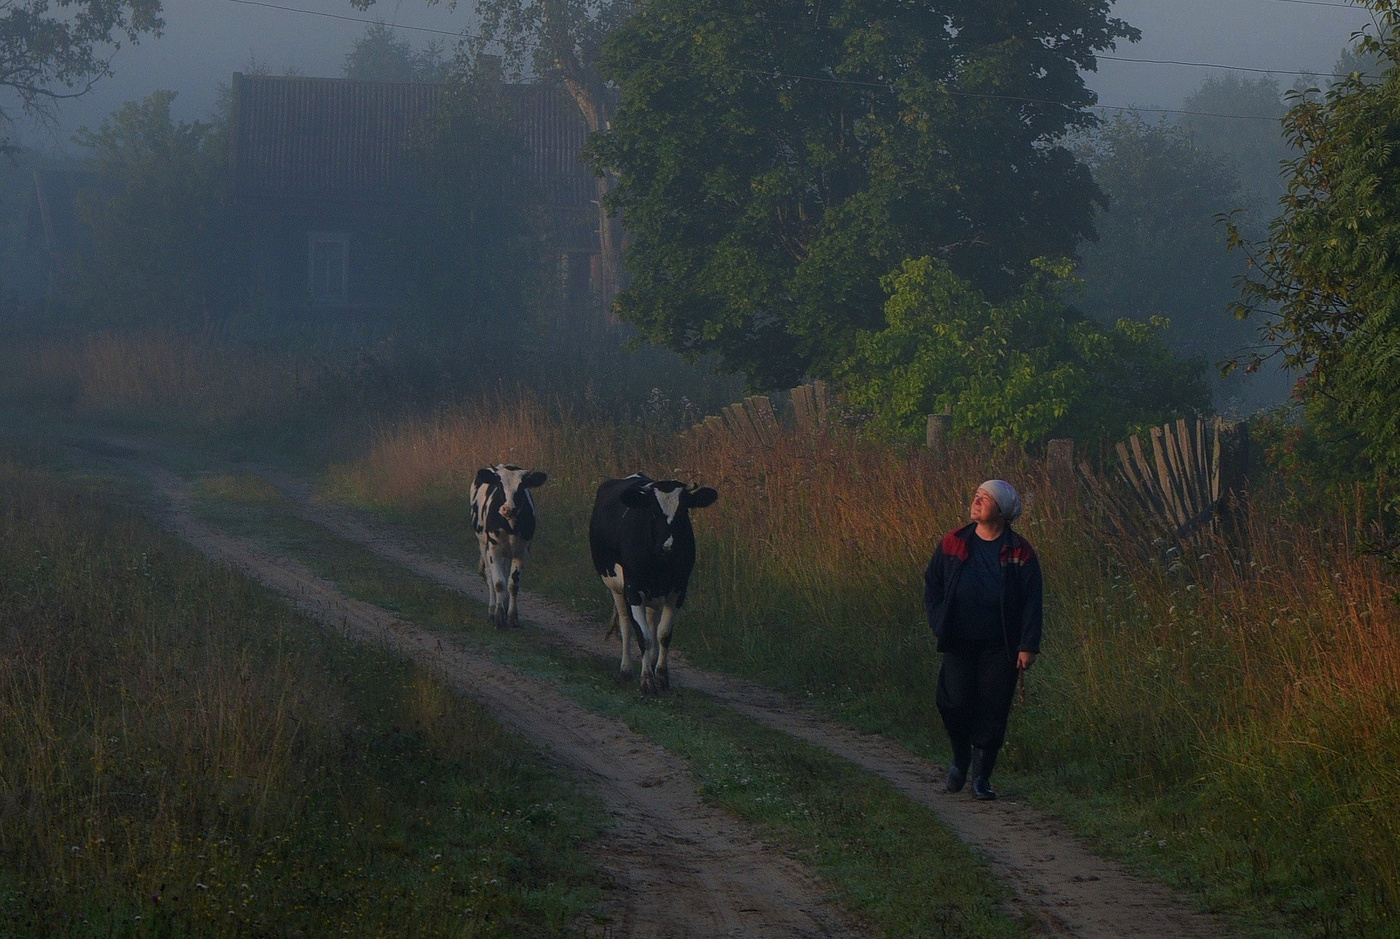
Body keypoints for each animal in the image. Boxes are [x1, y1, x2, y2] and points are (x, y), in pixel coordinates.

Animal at [470, 464, 546, 626]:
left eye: (522, 486)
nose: (507, 509)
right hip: (483, 544)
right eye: (500, 485)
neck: (510, 525)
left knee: (504, 573)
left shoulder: (522, 551)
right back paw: (492, 610)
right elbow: (499, 583)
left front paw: (512, 617)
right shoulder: (493, 549)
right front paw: (498, 617)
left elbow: (513, 584)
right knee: (490, 575)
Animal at [590, 472, 722, 694]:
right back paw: (626, 670)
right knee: (626, 625)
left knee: (652, 623)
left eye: (683, 511)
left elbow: (663, 634)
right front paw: (646, 681)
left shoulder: (678, 590)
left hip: (654, 596)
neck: (660, 565)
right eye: (652, 512)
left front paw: (661, 677)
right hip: (616, 588)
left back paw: (650, 664)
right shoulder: (633, 590)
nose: (667, 547)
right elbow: (643, 636)